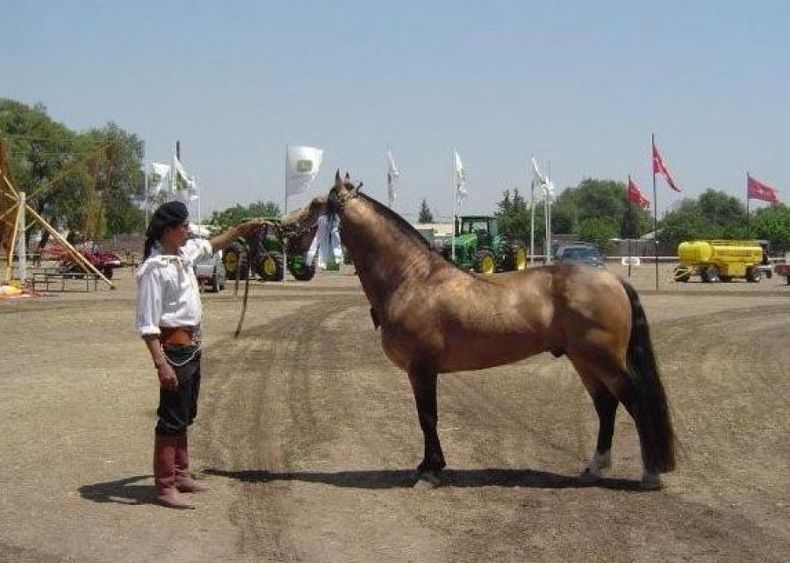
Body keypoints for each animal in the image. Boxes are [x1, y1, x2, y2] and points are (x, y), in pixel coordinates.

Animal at [279, 171, 675, 489]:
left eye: (316, 204)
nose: (281, 226)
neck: (412, 278)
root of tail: (611, 278)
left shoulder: (422, 368)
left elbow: (427, 417)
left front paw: (430, 472)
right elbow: (426, 419)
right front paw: (428, 466)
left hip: (603, 358)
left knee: (633, 399)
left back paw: (650, 474)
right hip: (583, 360)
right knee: (605, 405)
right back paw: (594, 468)